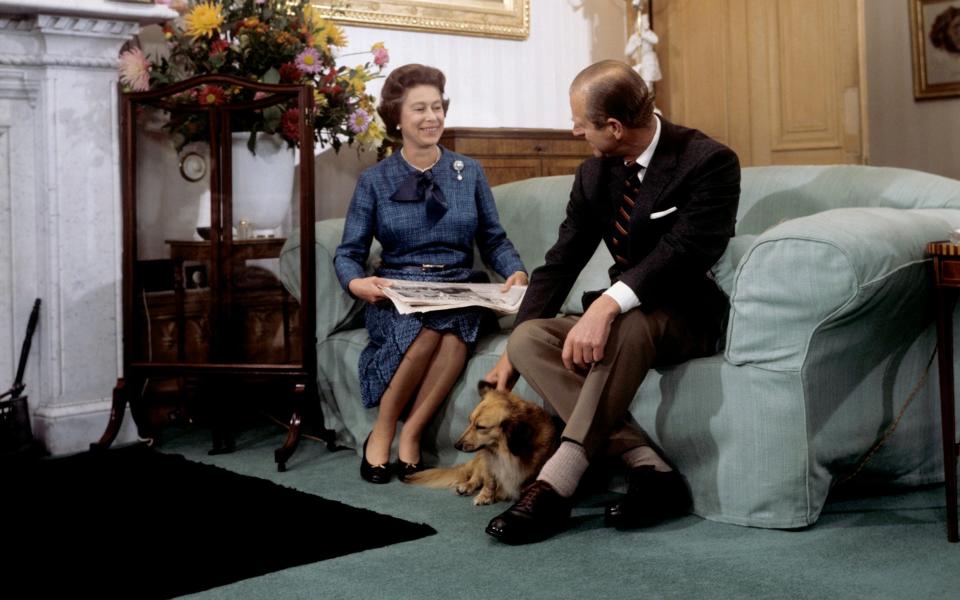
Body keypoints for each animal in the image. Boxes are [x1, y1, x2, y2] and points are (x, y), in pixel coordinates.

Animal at [404, 382, 556, 504]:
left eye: (481, 427)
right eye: (470, 421)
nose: (456, 446)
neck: (505, 452)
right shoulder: (489, 462)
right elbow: (489, 481)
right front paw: (485, 496)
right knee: (476, 477)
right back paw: (466, 486)